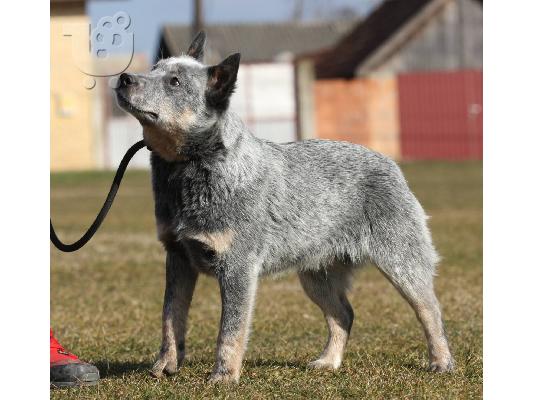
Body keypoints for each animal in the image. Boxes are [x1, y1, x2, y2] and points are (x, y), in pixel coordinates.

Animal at [115, 32, 454, 382]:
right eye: (154, 69)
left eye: (175, 81)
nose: (124, 78)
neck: (192, 169)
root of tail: (391, 163)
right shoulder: (178, 257)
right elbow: (171, 317)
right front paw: (164, 366)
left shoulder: (238, 267)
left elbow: (230, 331)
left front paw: (224, 376)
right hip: (316, 275)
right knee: (344, 314)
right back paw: (329, 361)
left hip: (402, 263)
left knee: (431, 310)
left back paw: (441, 362)